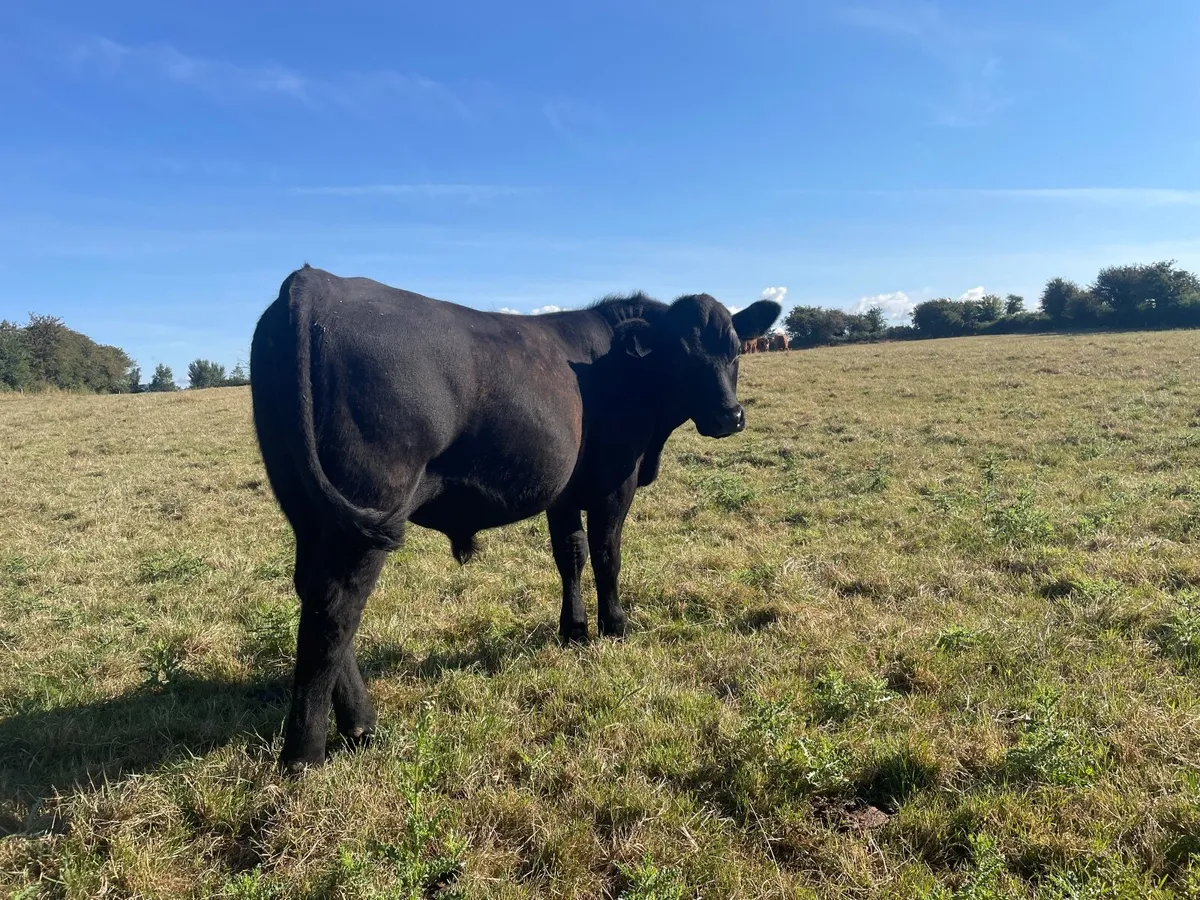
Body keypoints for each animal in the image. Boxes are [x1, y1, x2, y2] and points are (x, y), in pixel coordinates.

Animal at [249, 266, 781, 769]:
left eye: (735, 348)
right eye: (681, 354)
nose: (730, 416)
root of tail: (314, 282)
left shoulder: (564, 490)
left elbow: (571, 555)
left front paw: (574, 631)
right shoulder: (616, 481)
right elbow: (607, 554)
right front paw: (616, 626)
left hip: (310, 507)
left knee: (313, 592)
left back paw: (361, 726)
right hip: (369, 506)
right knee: (337, 607)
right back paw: (307, 753)